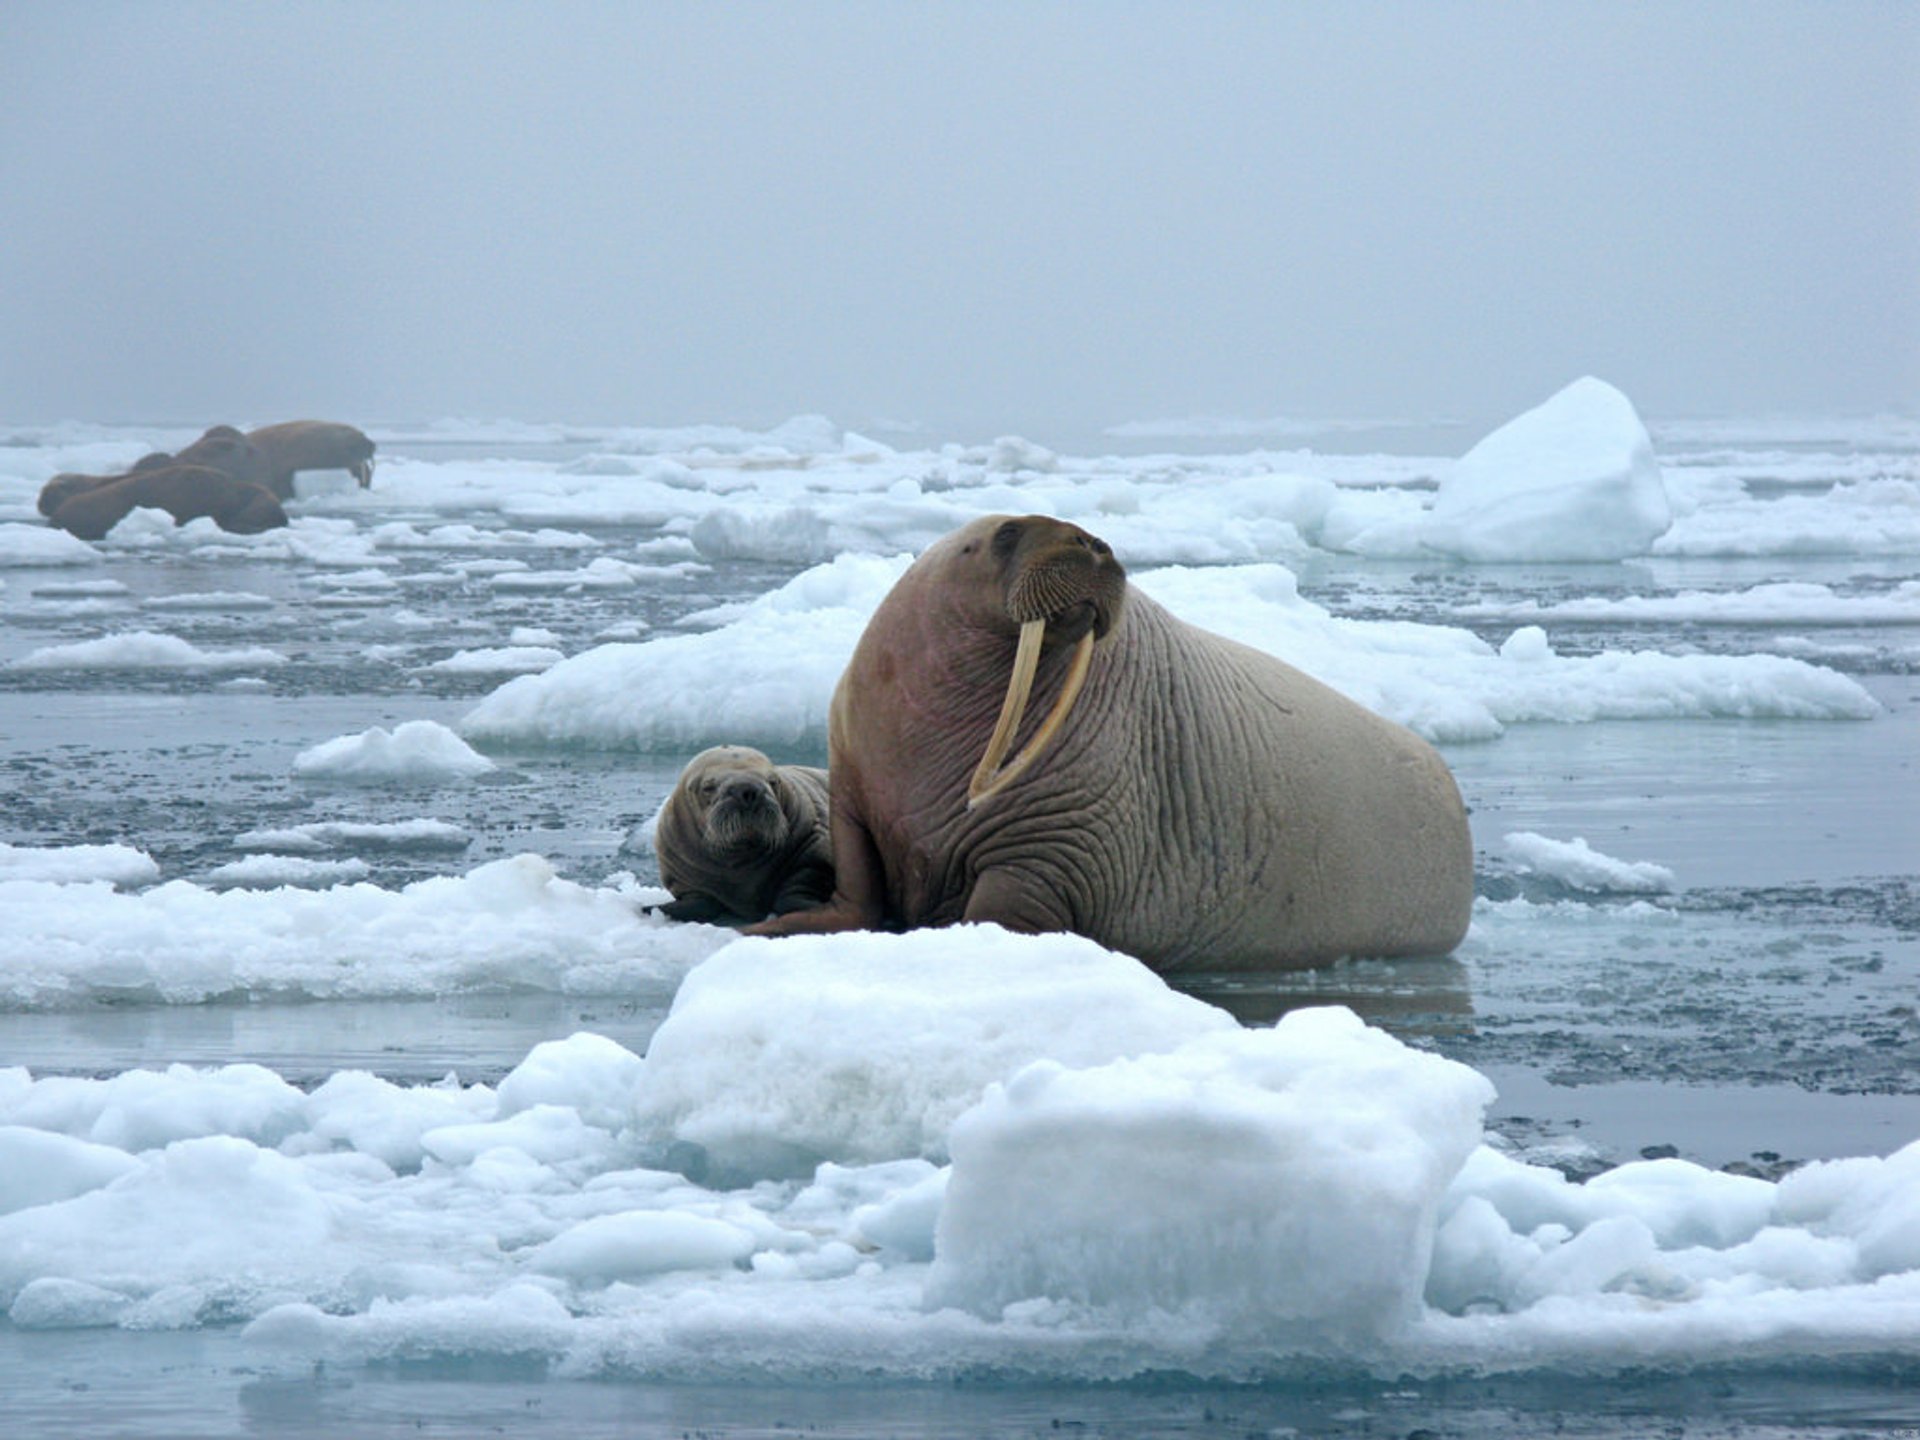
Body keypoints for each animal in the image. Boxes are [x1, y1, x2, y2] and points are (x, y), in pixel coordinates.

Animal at [652, 744, 833, 925]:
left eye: (773, 781)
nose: (748, 790)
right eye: (708, 787)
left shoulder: (815, 841)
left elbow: (801, 881)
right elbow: (699, 904)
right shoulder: (684, 881)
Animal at [756, 514, 1474, 975]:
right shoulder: (854, 788)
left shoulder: (1056, 843)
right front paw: (766, 927)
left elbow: (1003, 908)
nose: (1094, 544)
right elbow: (858, 885)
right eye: (1007, 533)